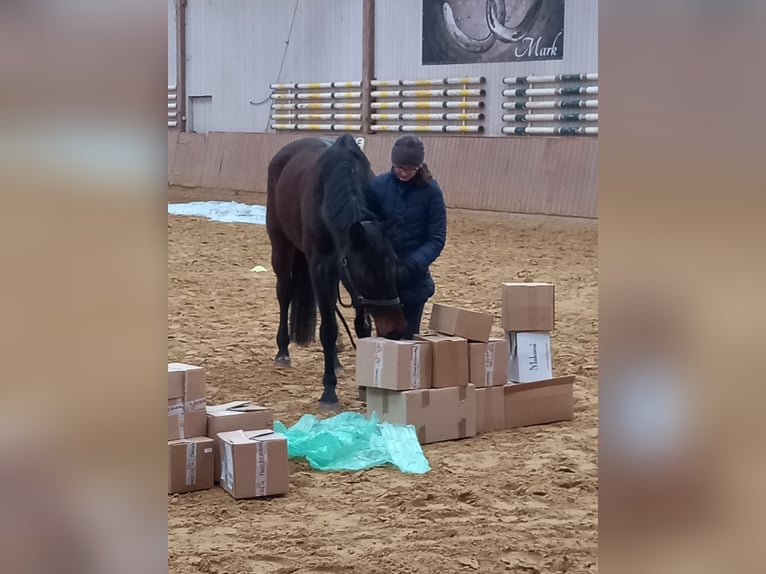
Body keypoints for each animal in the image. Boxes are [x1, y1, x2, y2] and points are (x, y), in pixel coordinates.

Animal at [264, 133, 408, 412]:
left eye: (394, 266)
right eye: (366, 275)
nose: (396, 330)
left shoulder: (343, 274)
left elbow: (361, 327)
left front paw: (364, 387)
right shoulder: (321, 267)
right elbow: (327, 331)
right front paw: (329, 392)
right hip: (282, 247)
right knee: (284, 293)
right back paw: (282, 351)